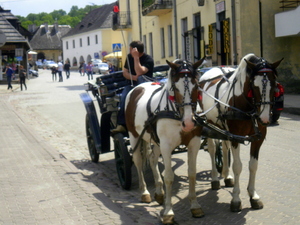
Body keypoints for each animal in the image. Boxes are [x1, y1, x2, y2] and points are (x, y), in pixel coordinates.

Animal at [125, 58, 205, 223]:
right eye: (175, 87)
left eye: (196, 85)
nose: (189, 122)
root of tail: (136, 88)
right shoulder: (167, 146)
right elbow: (168, 176)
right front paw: (168, 212)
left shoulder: (194, 143)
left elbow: (192, 173)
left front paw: (195, 206)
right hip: (134, 135)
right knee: (138, 160)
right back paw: (145, 192)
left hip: (156, 141)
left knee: (152, 159)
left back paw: (159, 192)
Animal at [199, 53, 284, 212]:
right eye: (254, 86)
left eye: (274, 84)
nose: (264, 118)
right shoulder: (236, 138)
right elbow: (238, 166)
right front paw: (236, 199)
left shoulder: (258, 138)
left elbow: (253, 165)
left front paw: (253, 196)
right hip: (209, 123)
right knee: (213, 149)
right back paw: (215, 179)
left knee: (224, 147)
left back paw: (226, 176)